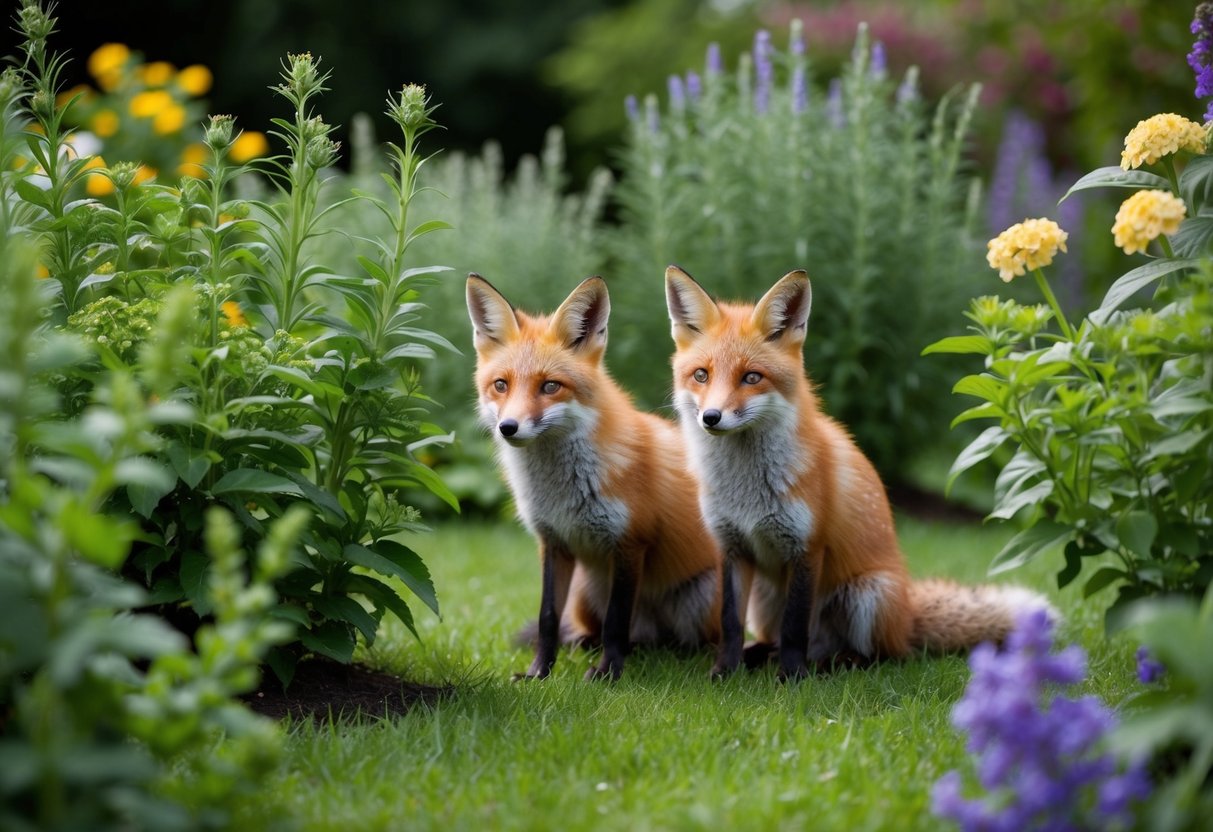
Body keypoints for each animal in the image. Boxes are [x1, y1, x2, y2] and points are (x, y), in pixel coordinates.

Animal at [466, 273, 726, 681]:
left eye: (550, 386)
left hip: (699, 598)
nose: (509, 427)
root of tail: (654, 634)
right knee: (592, 632)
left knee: (687, 643)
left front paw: (607, 675)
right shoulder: (553, 542)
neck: (562, 491)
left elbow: (616, 623)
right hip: (586, 591)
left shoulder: (630, 543)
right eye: (501, 385)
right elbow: (547, 618)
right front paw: (539, 673)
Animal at [664, 265, 1054, 681]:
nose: (711, 418)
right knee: (777, 637)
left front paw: (792, 678)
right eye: (701, 376)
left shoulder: (807, 547)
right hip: (765, 598)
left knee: (878, 655)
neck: (746, 490)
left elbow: (795, 626)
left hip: (866, 595)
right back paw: (762, 656)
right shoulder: (731, 547)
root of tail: (907, 618)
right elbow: (730, 622)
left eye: (752, 378)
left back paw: (830, 665)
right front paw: (725, 672)